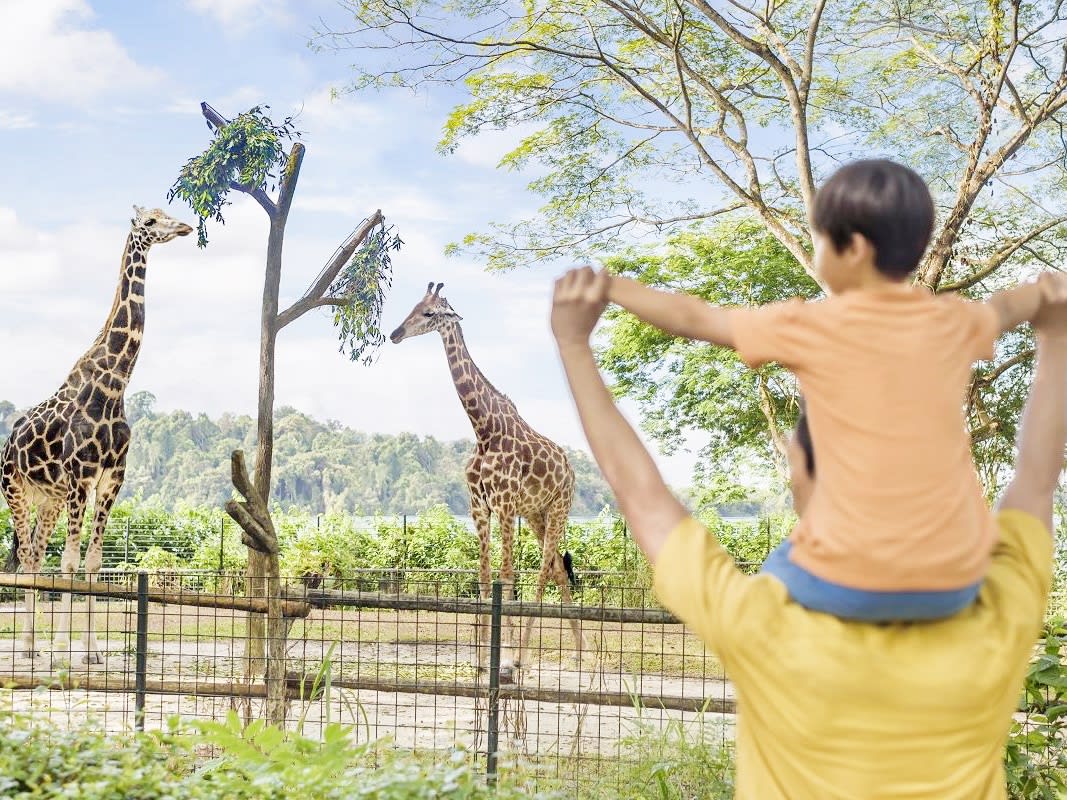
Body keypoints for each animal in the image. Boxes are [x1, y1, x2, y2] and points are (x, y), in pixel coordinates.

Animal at [1, 206, 192, 665]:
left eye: (166, 214)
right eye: (151, 221)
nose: (184, 227)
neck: (114, 386)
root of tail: (7, 444)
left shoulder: (110, 480)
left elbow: (92, 561)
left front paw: (89, 651)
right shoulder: (80, 478)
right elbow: (69, 562)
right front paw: (63, 649)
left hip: (48, 500)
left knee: (36, 555)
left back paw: (32, 645)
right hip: (15, 492)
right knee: (29, 557)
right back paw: (31, 647)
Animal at [392, 281, 588, 682]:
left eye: (429, 313)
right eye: (413, 306)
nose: (395, 334)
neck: (483, 428)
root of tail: (571, 470)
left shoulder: (505, 504)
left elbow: (507, 577)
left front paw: (507, 659)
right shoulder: (478, 506)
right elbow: (484, 579)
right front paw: (481, 660)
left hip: (559, 508)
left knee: (543, 571)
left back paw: (526, 657)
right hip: (538, 515)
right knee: (558, 569)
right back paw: (579, 653)